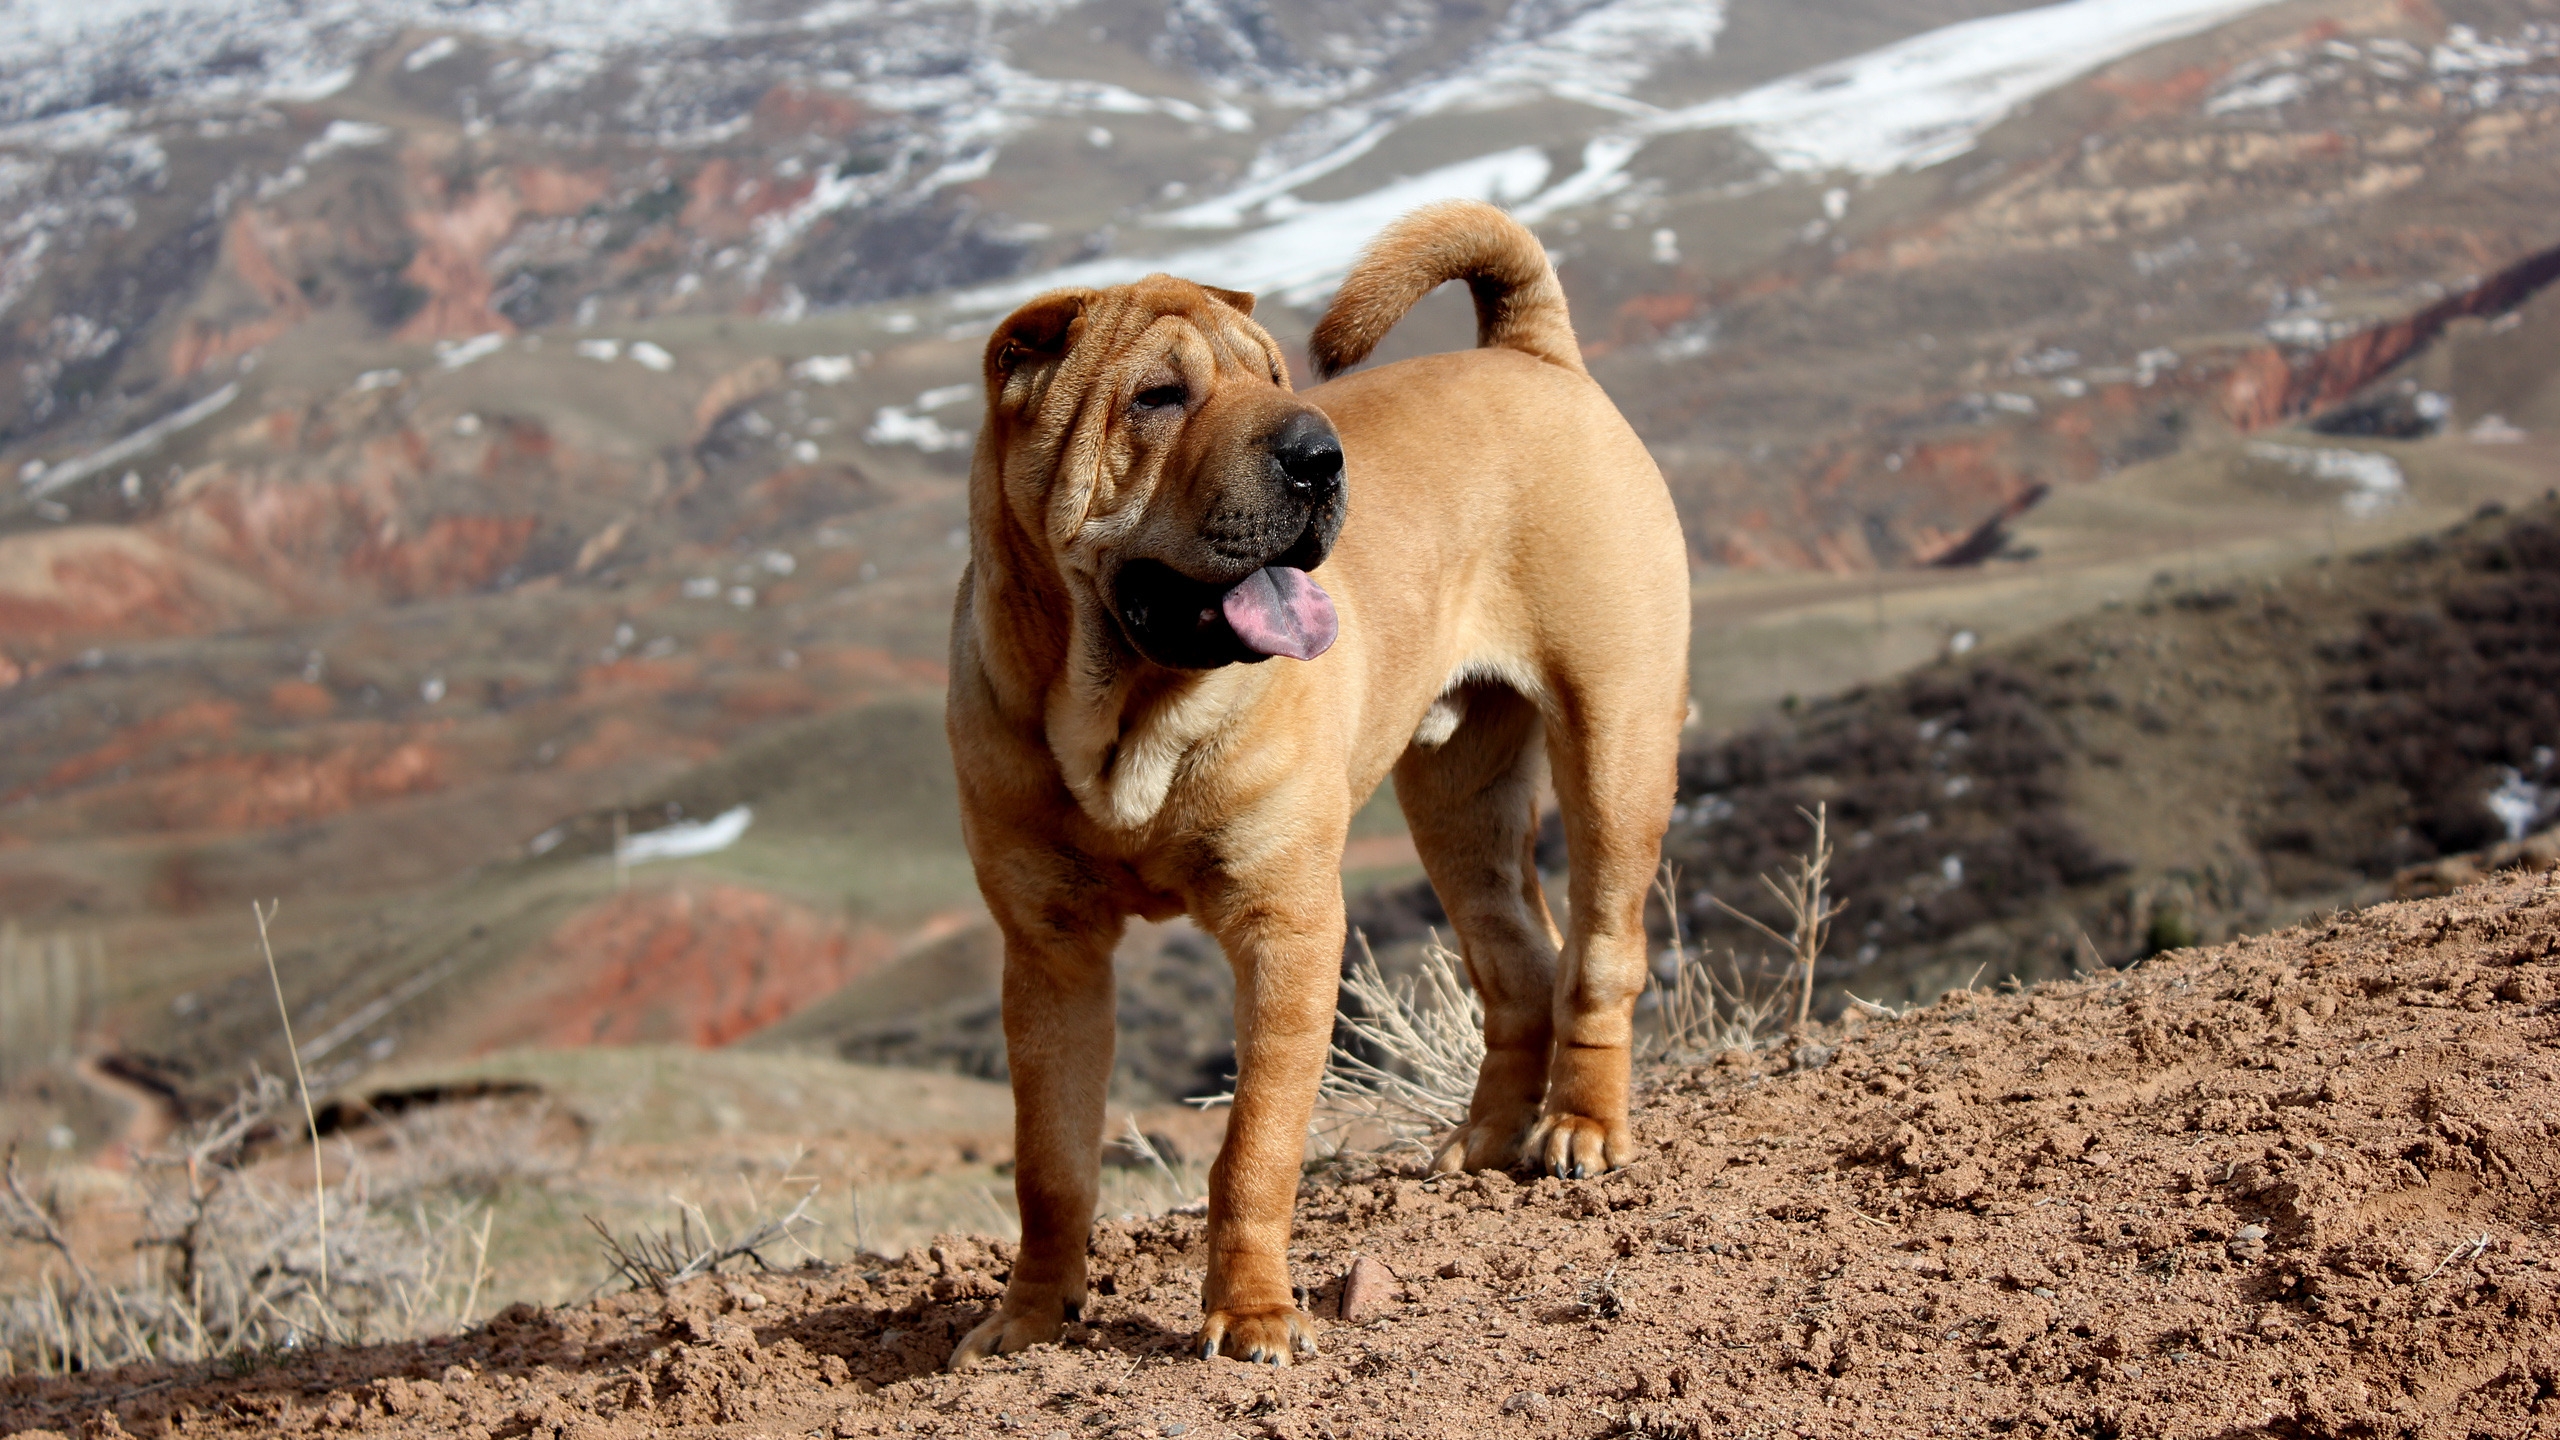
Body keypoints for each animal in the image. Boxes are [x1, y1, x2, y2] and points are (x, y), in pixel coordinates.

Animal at [952, 196, 1689, 1363]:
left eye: (1273, 377)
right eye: (1157, 396)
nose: (1316, 454)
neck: (1125, 716)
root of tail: (1533, 356)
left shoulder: (1285, 925)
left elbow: (1253, 1145)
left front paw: (1252, 1317)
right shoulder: (1051, 954)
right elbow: (1049, 1161)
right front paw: (1026, 1318)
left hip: (1616, 747)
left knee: (1603, 952)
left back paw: (1580, 1127)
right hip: (1458, 804)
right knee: (1519, 963)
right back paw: (1483, 1143)